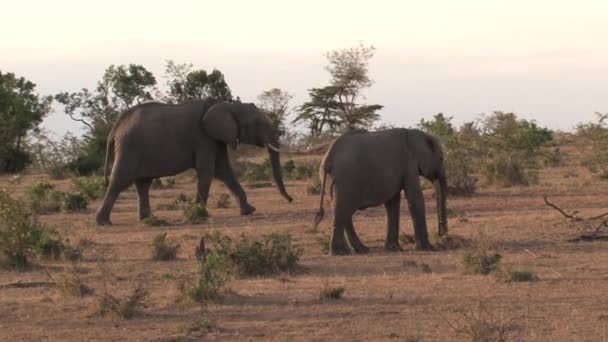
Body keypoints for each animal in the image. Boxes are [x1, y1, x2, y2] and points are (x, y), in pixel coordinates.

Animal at [96, 97, 294, 226]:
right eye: (258, 123)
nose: (291, 200)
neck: (230, 106)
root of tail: (115, 127)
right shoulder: (204, 138)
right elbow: (208, 172)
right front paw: (199, 217)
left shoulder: (216, 139)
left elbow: (224, 172)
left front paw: (249, 211)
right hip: (130, 147)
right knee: (119, 181)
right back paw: (104, 222)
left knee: (143, 184)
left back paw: (149, 219)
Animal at [314, 128, 446, 254]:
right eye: (441, 158)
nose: (441, 235)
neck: (417, 134)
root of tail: (327, 160)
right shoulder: (409, 165)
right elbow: (415, 198)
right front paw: (428, 249)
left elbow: (392, 203)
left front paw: (393, 249)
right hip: (345, 179)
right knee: (342, 209)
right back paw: (341, 252)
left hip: (334, 181)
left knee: (342, 211)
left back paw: (361, 250)